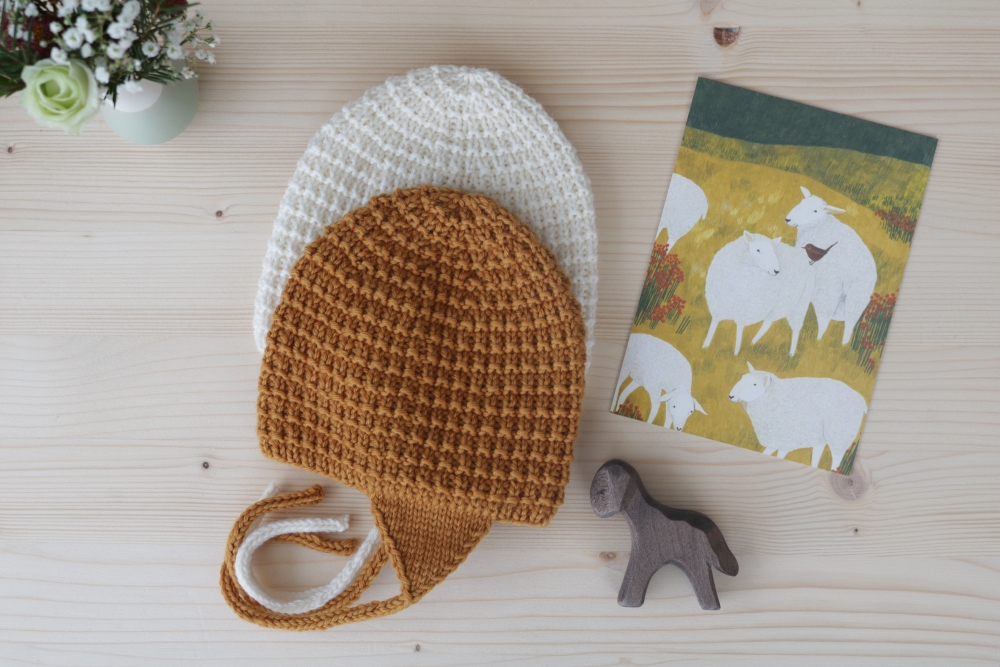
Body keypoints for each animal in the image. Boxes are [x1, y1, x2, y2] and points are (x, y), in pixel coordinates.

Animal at [728, 366, 868, 470]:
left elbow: (779, 456)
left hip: (839, 435)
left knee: (836, 459)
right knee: (817, 455)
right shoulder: (775, 439)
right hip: (820, 437)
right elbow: (766, 453)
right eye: (742, 378)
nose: (731, 396)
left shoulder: (785, 440)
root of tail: (861, 400)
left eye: (755, 384)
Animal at [780, 187, 876, 344]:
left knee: (824, 319)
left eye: (815, 211)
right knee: (849, 323)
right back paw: (841, 345)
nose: (788, 219)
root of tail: (853, 273)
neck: (820, 224)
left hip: (828, 291)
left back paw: (817, 342)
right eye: (801, 202)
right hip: (857, 297)